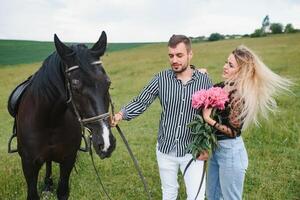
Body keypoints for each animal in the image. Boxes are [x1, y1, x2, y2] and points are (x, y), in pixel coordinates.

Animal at [12, 31, 115, 200]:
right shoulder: (28, 164)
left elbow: (63, 191)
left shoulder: (68, 160)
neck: (50, 121)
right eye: (74, 84)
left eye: (108, 83)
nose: (106, 143)